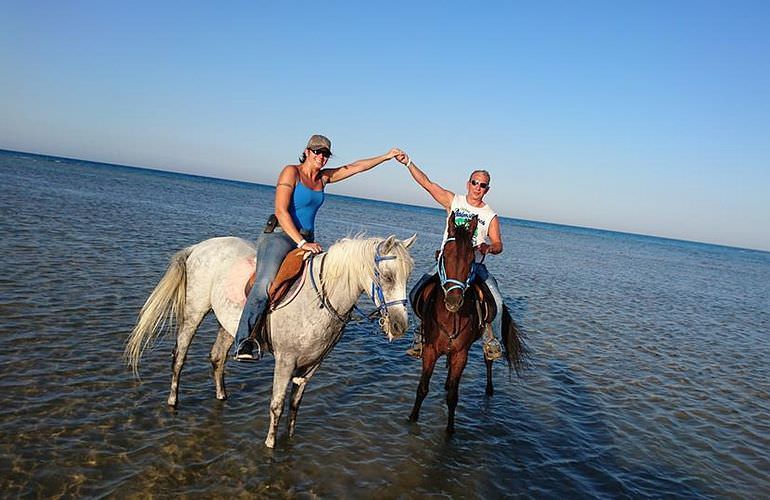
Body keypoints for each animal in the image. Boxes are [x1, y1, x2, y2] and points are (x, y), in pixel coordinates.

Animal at [126, 232, 414, 448]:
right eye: (387, 277)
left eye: (407, 277)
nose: (400, 326)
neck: (320, 297)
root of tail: (199, 247)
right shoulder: (286, 361)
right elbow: (277, 404)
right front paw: (270, 443)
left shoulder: (312, 366)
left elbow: (295, 404)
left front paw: (290, 437)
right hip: (194, 313)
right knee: (180, 356)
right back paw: (173, 400)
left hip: (229, 325)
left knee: (217, 357)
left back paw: (222, 395)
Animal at [408, 213, 520, 436]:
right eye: (445, 255)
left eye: (471, 259)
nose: (454, 301)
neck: (451, 316)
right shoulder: (430, 350)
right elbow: (422, 387)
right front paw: (412, 418)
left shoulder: (461, 354)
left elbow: (453, 395)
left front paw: (450, 431)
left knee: (488, 359)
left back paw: (489, 387)